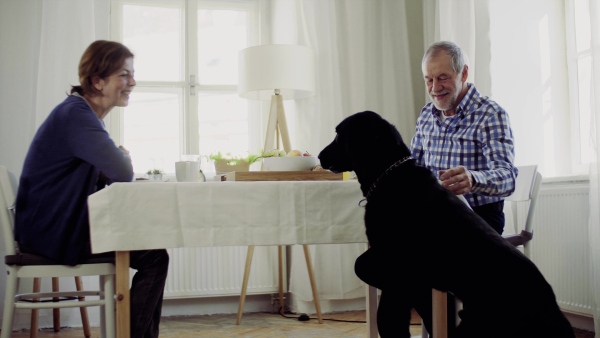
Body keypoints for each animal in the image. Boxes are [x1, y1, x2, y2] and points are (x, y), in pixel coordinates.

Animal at [316, 111, 576, 338]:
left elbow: (363, 267)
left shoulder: (389, 253)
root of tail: (555, 313)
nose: (318, 156)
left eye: (339, 135)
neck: (390, 174)